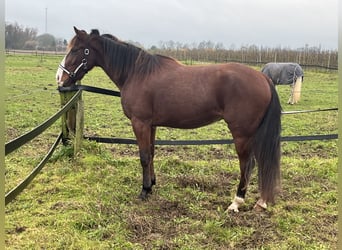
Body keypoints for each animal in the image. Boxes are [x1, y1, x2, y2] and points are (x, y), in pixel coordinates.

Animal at [55, 27, 280, 212]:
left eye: (77, 50)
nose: (60, 78)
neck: (136, 73)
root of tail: (264, 78)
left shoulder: (140, 123)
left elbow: (144, 156)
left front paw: (144, 190)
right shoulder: (151, 125)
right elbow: (152, 153)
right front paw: (152, 184)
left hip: (241, 133)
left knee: (247, 164)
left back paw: (236, 202)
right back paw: (261, 201)